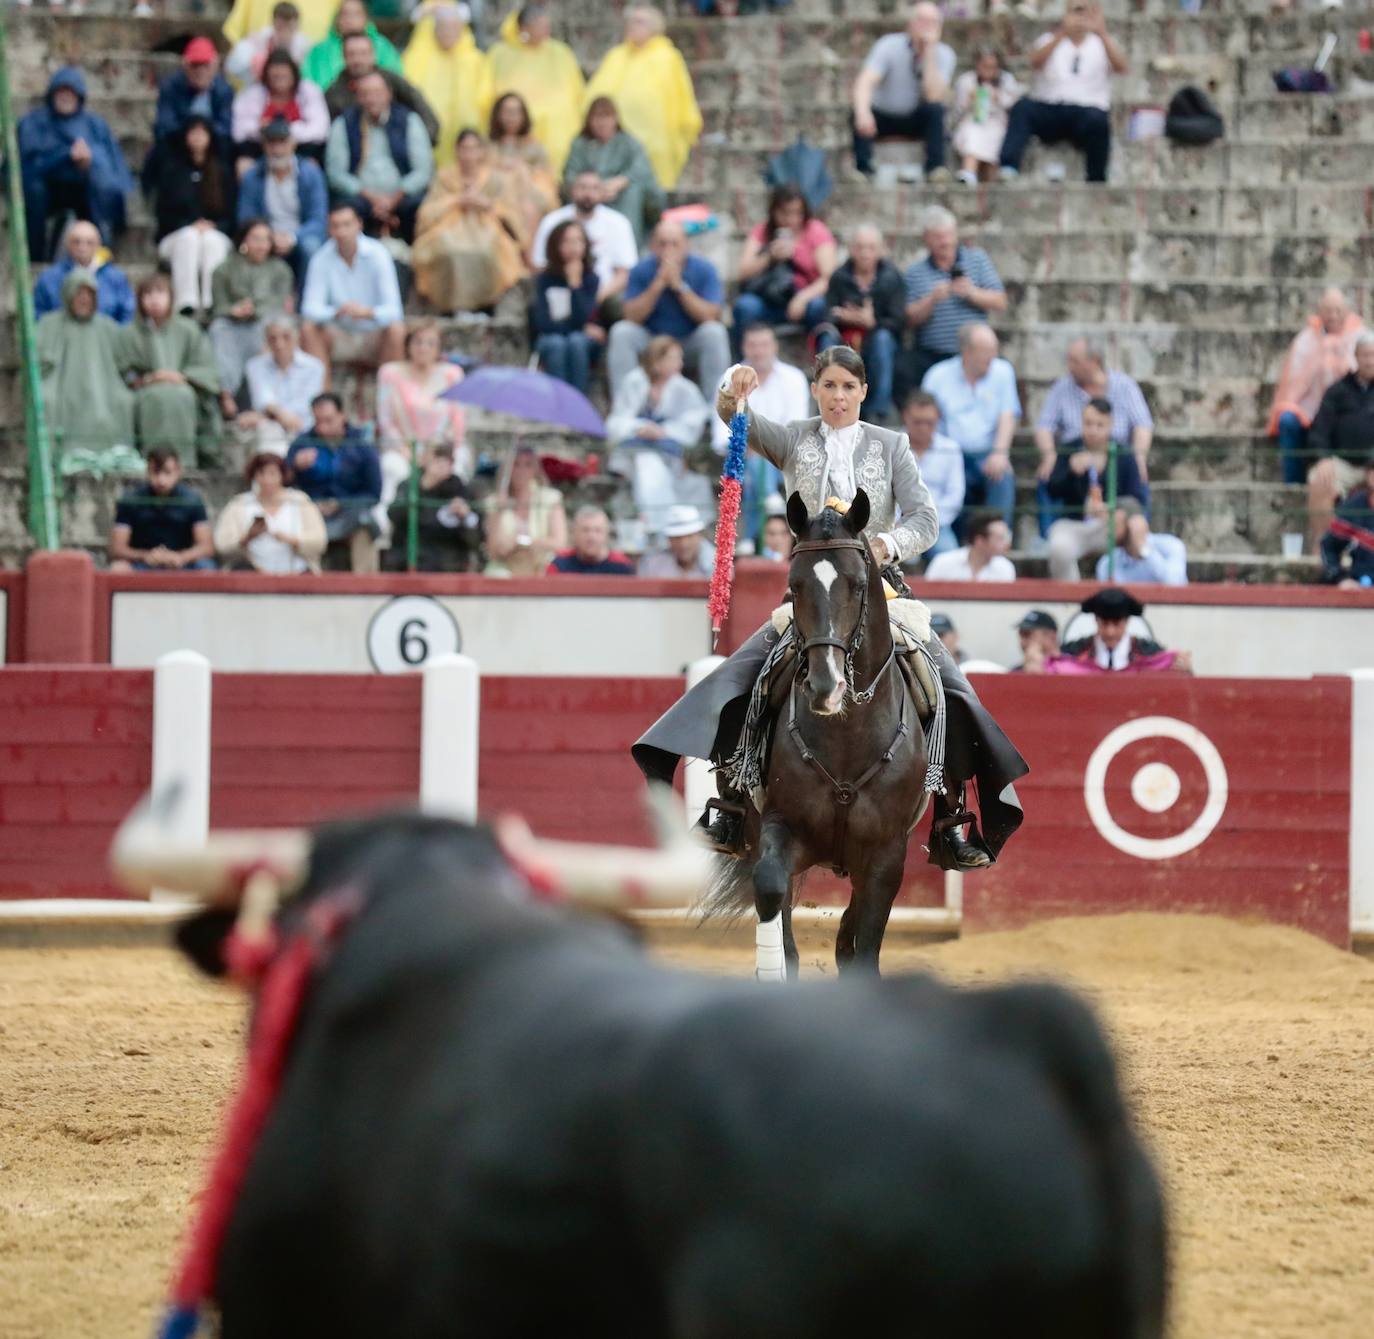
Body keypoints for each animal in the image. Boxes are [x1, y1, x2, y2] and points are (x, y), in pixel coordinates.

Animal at [714, 491, 928, 972]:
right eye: (794, 586)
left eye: (859, 584)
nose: (826, 687)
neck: (847, 735)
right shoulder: (778, 826)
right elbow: (771, 892)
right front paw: (771, 967)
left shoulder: (887, 857)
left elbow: (866, 946)